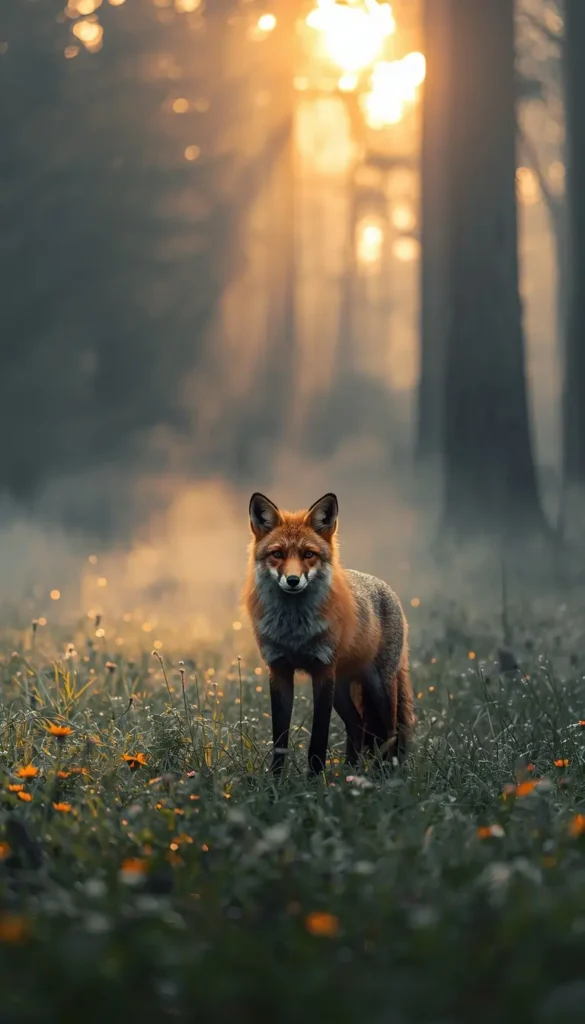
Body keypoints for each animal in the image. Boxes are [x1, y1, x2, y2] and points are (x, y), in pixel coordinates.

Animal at [243, 491, 414, 775]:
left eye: (308, 554)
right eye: (277, 554)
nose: (292, 580)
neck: (295, 633)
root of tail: (385, 587)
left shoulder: (323, 670)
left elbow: (318, 741)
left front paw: (314, 780)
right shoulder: (279, 671)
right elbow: (280, 740)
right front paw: (275, 781)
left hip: (379, 686)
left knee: (389, 733)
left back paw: (386, 776)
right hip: (343, 690)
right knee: (358, 724)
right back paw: (349, 773)